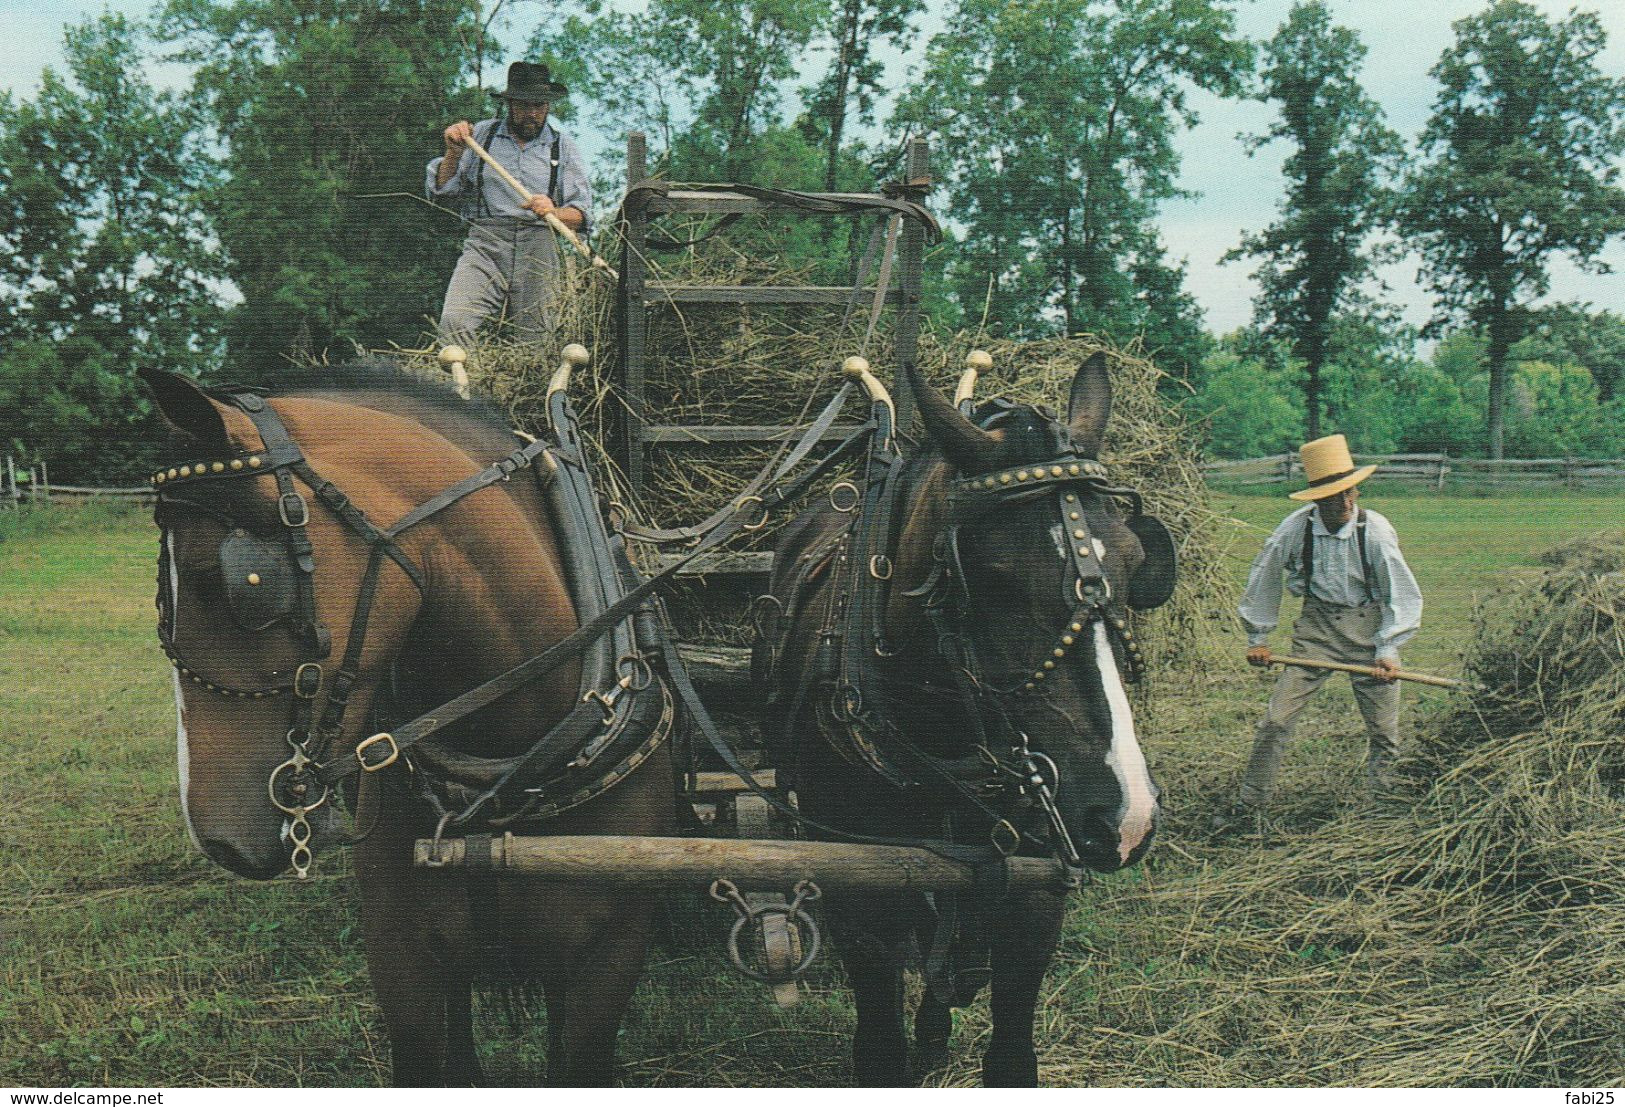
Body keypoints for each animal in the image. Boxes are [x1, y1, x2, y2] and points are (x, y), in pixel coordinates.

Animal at [760, 355, 1170, 1085]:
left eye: (1131, 560)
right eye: (994, 577)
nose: (1127, 815)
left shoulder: (1036, 897)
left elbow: (1010, 1051)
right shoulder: (860, 900)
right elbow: (880, 1050)